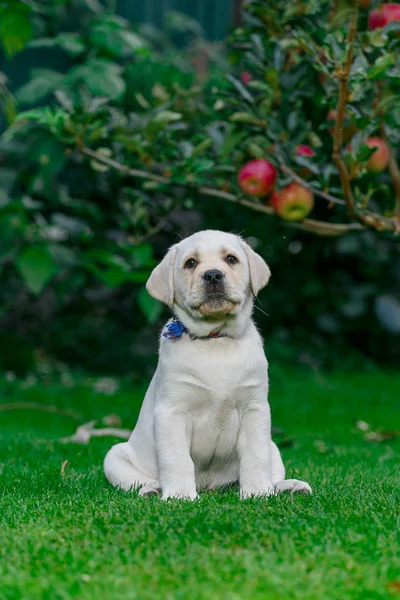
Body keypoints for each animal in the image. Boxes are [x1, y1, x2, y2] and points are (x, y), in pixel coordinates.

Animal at [104, 232, 312, 500]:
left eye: (231, 259)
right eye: (190, 263)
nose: (213, 275)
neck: (216, 338)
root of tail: (210, 486)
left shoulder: (255, 408)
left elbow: (256, 455)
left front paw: (257, 493)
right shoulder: (172, 410)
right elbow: (177, 458)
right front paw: (180, 495)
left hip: (273, 445)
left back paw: (287, 486)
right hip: (113, 457)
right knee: (136, 481)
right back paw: (152, 489)